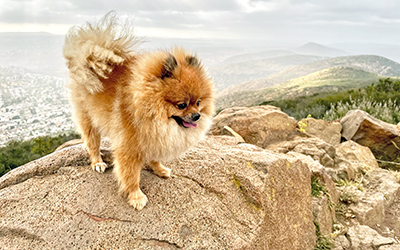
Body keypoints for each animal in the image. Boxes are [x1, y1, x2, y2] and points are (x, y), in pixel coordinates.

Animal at [62, 13, 214, 209]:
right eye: (181, 105)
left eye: (198, 102)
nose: (197, 116)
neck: (151, 113)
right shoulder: (129, 146)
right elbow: (131, 174)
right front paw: (136, 196)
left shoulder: (153, 139)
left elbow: (154, 158)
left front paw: (159, 169)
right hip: (88, 118)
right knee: (92, 142)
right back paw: (98, 162)